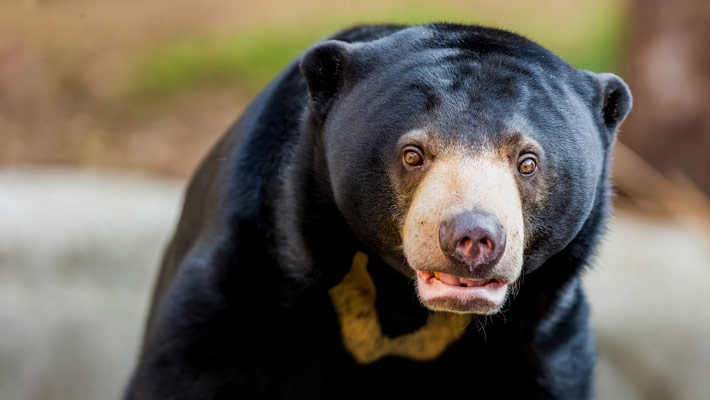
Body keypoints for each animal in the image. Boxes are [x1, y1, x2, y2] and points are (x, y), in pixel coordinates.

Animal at [125, 23, 632, 398]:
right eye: (413, 154)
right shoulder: (250, 271)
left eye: (527, 162)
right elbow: (190, 368)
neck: (403, 305)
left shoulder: (541, 331)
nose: (473, 238)